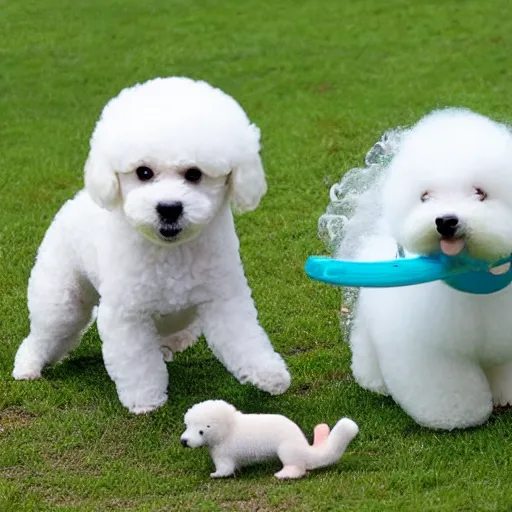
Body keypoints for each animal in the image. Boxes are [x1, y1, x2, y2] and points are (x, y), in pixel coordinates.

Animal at [13, 75, 292, 412]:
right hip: (62, 298)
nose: (169, 208)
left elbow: (244, 339)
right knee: (46, 334)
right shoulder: (127, 314)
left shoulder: (224, 299)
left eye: (194, 174)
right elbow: (137, 362)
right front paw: (146, 400)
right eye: (143, 172)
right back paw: (27, 367)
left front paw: (269, 374)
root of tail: (75, 200)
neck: (172, 251)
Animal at [182, 400, 358, 480]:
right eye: (187, 425)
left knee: (298, 469)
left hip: (287, 452)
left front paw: (215, 475)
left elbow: (225, 469)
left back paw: (283, 474)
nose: (184, 441)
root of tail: (304, 448)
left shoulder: (223, 457)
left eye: (201, 431)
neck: (229, 429)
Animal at [348, 107, 512, 428]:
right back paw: (374, 382)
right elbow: (448, 385)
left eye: (480, 192)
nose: (445, 221)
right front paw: (457, 416)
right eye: (425, 196)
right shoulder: (427, 349)